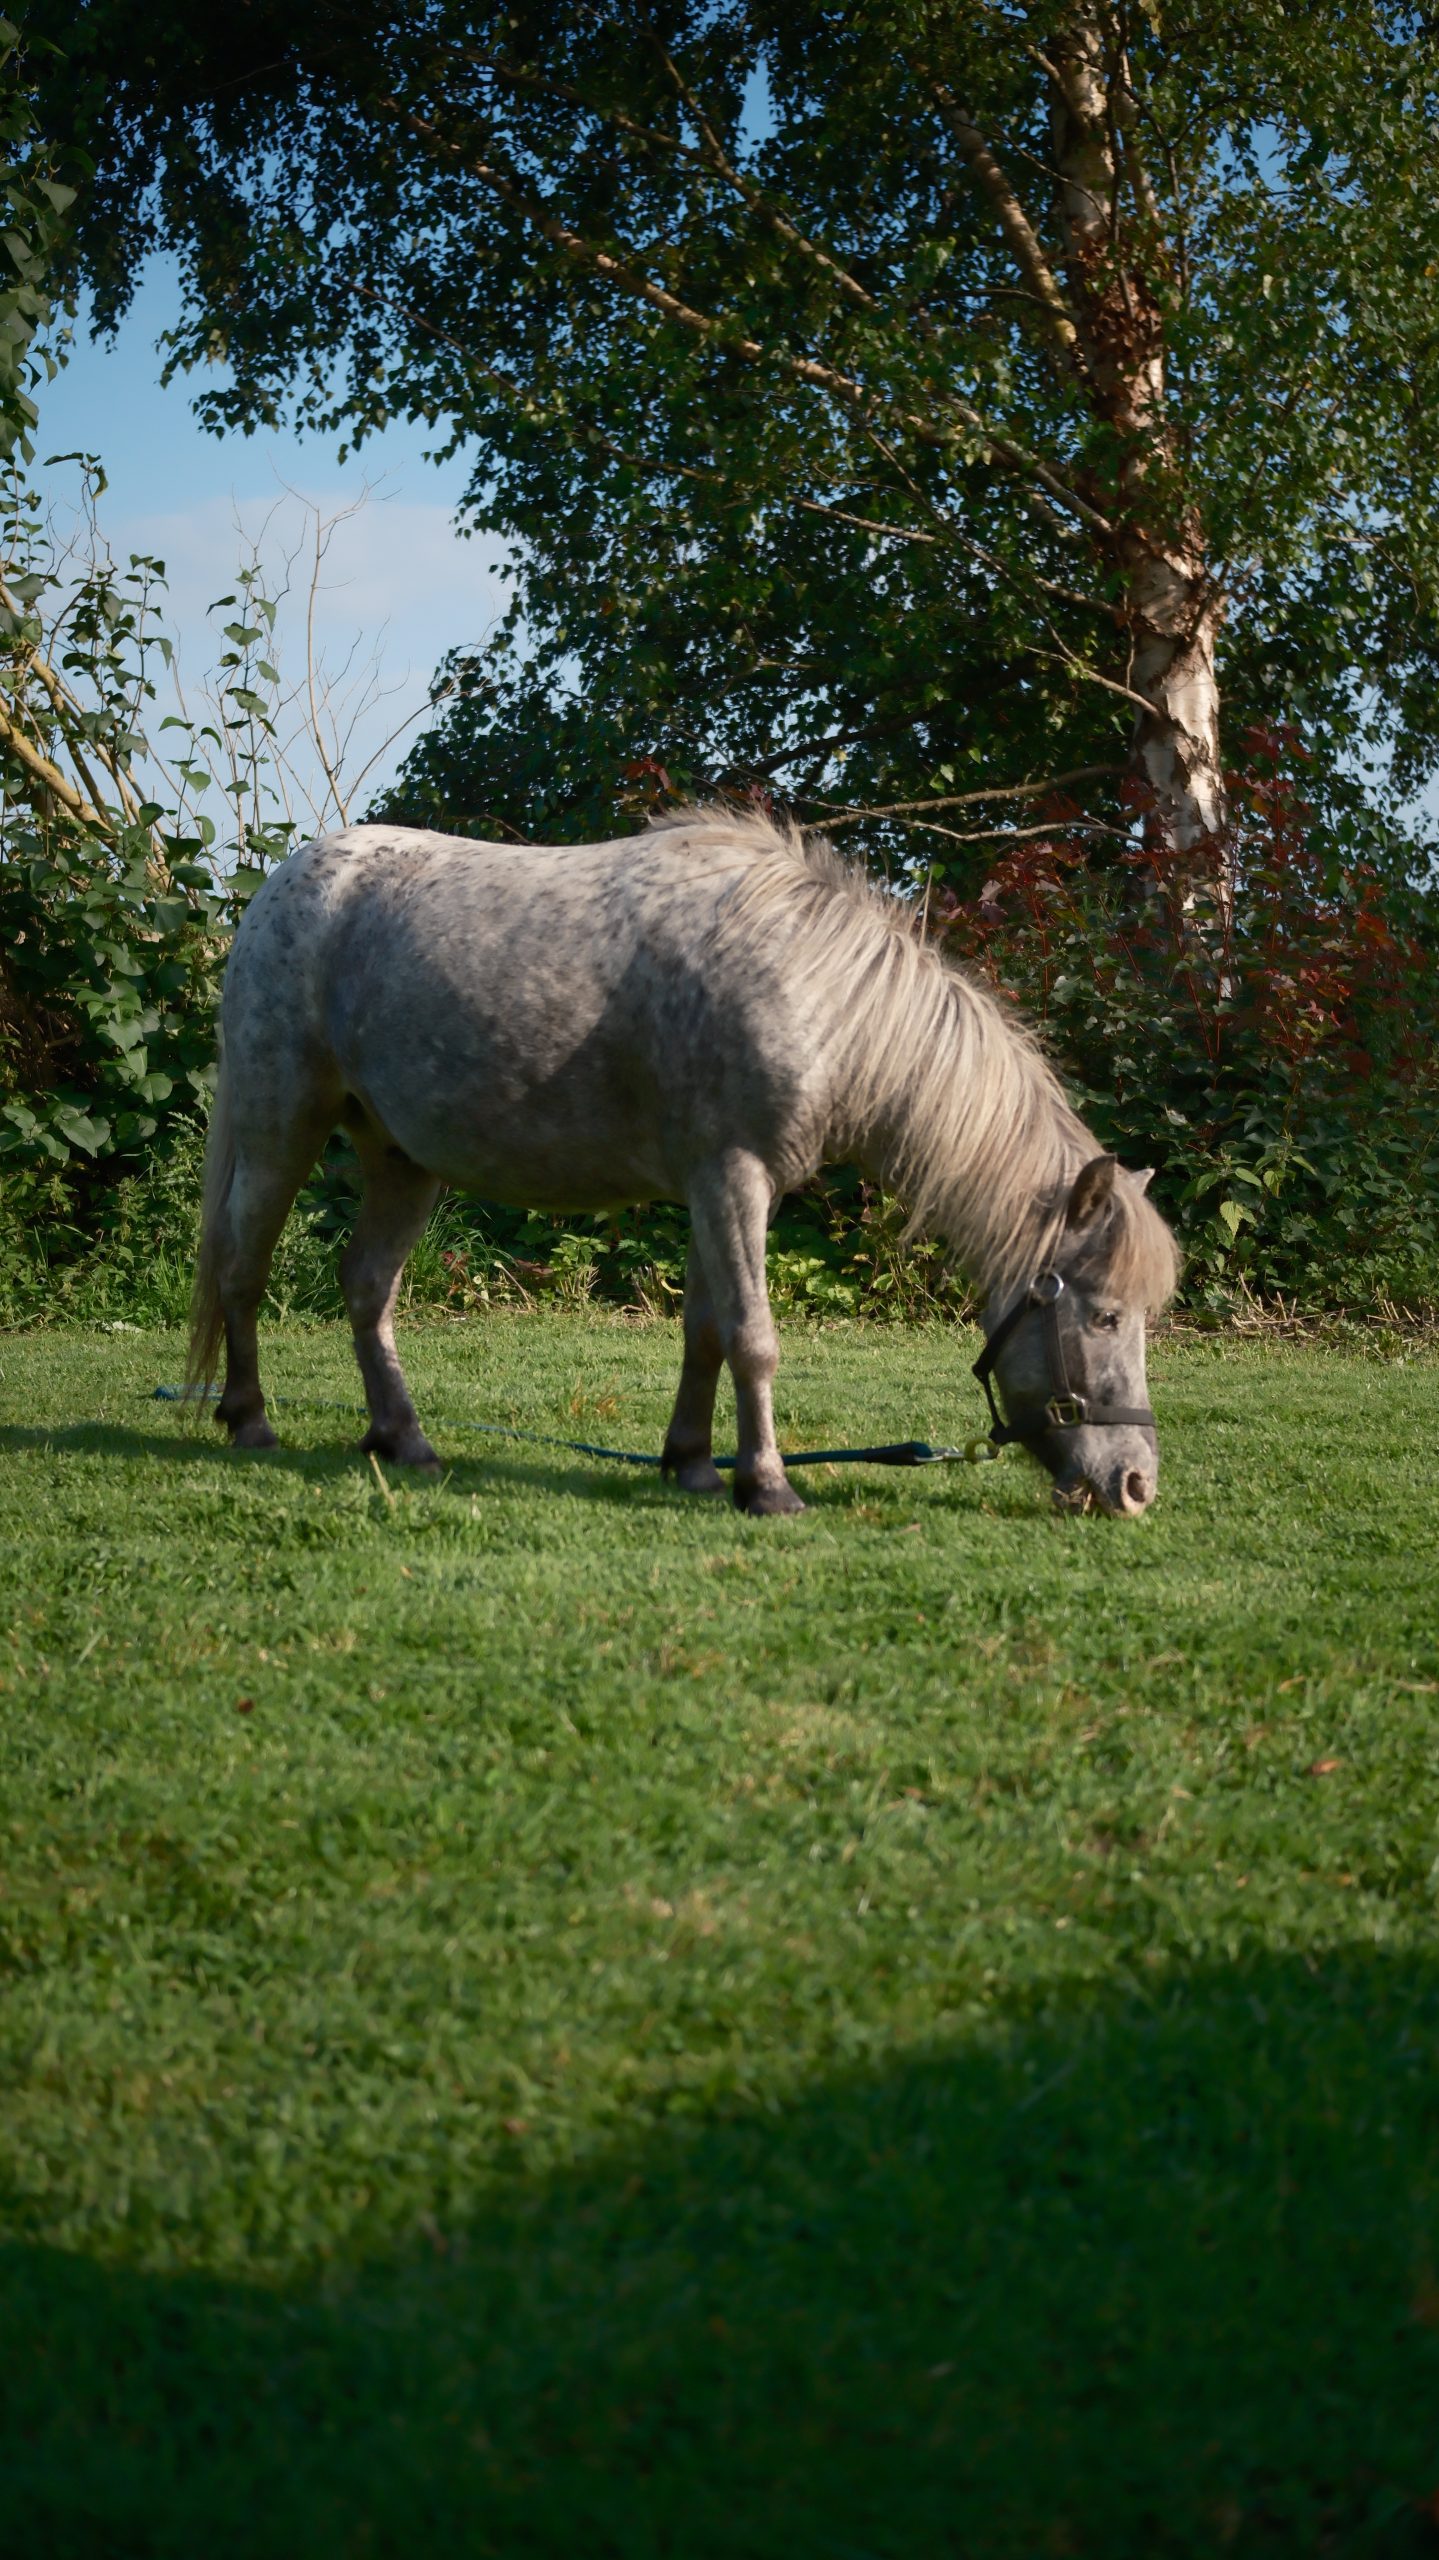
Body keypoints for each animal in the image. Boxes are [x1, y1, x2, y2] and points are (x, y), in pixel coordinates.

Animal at [188, 805, 1179, 1516]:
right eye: (1101, 1317)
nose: (1134, 1485)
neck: (815, 989)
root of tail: (282, 888)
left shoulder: (724, 1189)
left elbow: (705, 1331)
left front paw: (697, 1465)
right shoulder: (732, 1178)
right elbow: (753, 1337)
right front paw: (768, 1486)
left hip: (401, 1158)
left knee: (366, 1287)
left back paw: (404, 1442)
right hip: (282, 1126)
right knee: (242, 1266)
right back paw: (249, 1420)